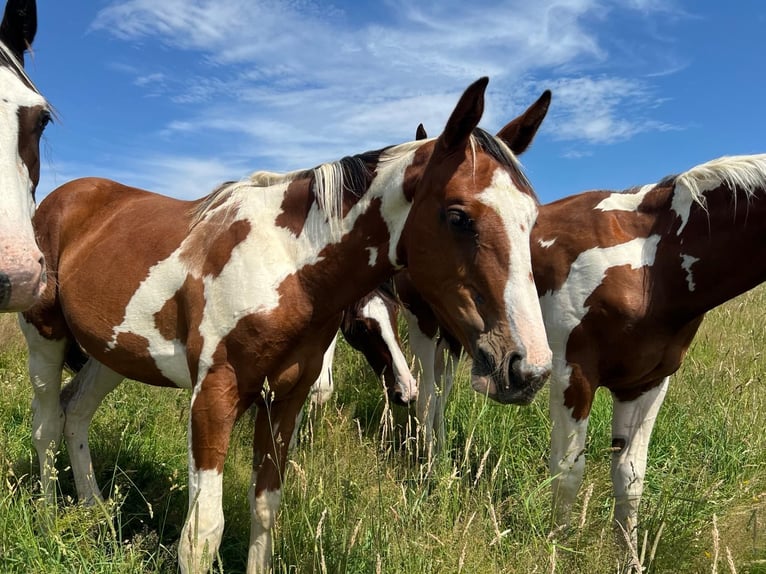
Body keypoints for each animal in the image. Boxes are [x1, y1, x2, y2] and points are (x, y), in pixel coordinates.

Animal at [21, 77, 552, 573]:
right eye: (458, 216)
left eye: (532, 218)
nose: (527, 367)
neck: (286, 265)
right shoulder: (213, 397)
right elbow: (202, 535)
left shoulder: (286, 401)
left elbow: (265, 509)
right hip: (45, 340)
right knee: (46, 425)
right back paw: (47, 520)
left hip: (111, 355)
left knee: (75, 412)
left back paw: (96, 515)